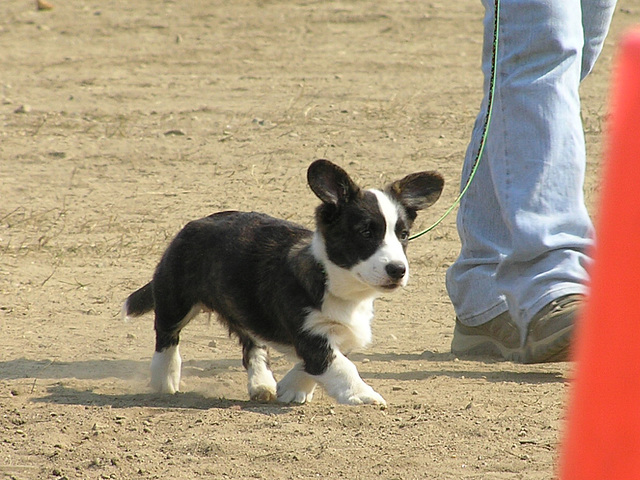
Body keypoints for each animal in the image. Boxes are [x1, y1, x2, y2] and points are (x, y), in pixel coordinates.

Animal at [124, 160, 444, 404]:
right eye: (366, 232)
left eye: (403, 235)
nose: (398, 270)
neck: (337, 283)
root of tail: (194, 223)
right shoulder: (310, 332)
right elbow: (341, 365)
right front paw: (362, 395)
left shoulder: (330, 334)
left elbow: (317, 362)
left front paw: (291, 389)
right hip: (175, 298)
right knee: (166, 336)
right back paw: (165, 379)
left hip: (244, 307)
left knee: (253, 345)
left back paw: (262, 384)